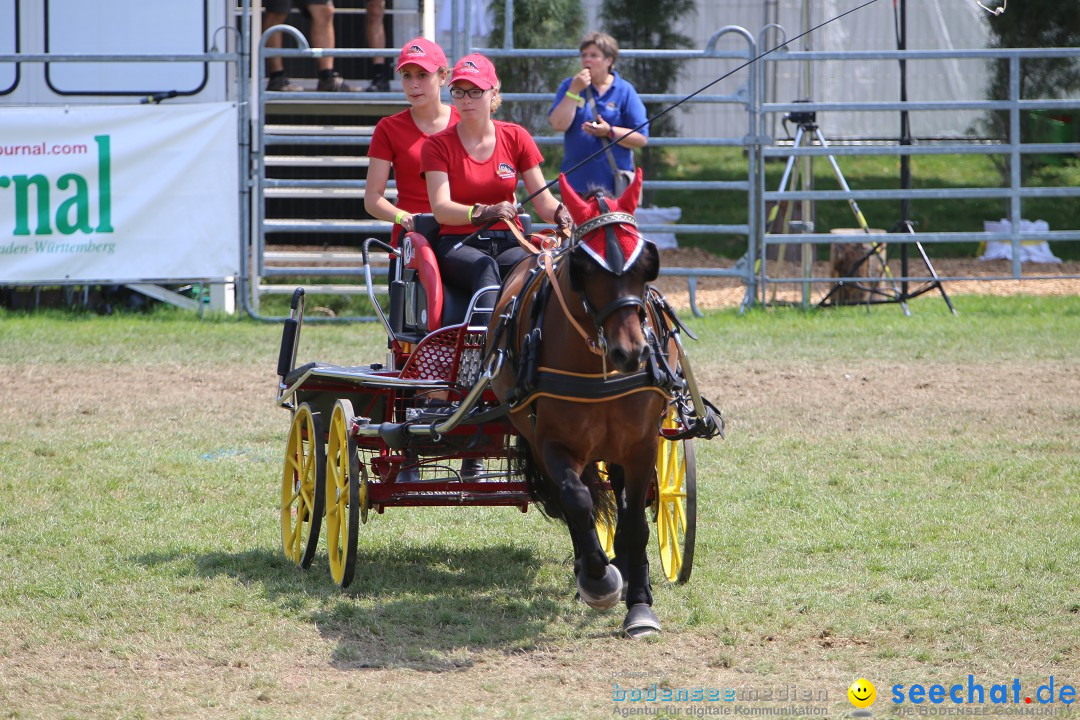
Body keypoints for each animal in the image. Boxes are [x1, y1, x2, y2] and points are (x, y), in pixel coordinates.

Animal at [488, 170, 669, 634]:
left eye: (646, 265)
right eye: (585, 268)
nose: (630, 352)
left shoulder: (642, 445)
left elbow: (635, 521)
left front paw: (639, 604)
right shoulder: (552, 443)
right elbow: (577, 501)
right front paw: (599, 579)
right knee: (577, 498)